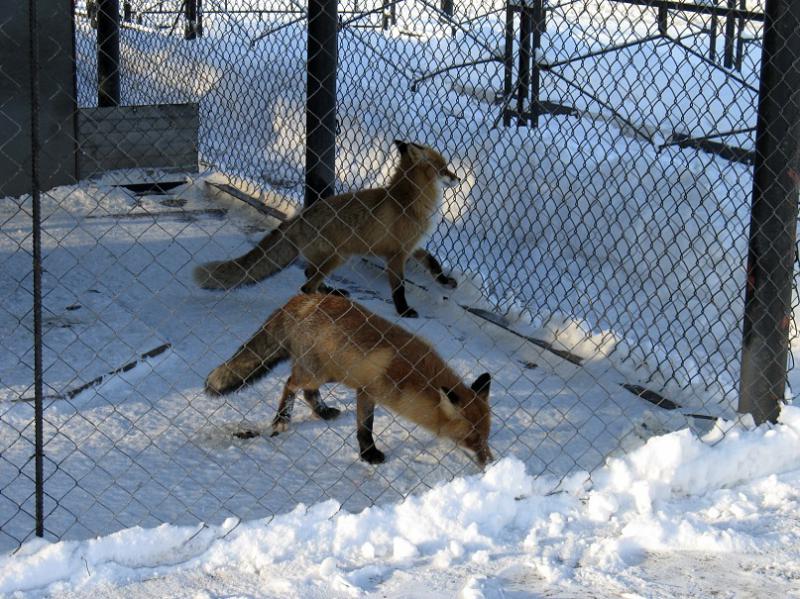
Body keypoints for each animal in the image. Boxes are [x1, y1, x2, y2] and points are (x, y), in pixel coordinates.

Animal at [192, 141, 462, 318]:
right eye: (444, 169)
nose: (458, 178)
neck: (407, 200)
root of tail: (298, 218)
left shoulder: (412, 246)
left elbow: (433, 262)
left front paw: (445, 281)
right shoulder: (396, 254)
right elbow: (399, 287)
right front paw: (404, 311)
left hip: (332, 258)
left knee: (308, 274)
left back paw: (331, 292)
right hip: (337, 257)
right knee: (306, 285)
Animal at [205, 296, 494, 468]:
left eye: (486, 437)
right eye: (472, 439)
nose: (490, 462)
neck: (413, 375)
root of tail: (303, 299)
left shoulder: (364, 389)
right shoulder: (368, 390)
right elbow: (365, 427)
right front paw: (369, 455)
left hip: (329, 372)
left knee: (308, 392)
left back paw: (322, 411)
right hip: (317, 372)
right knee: (290, 383)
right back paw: (282, 419)